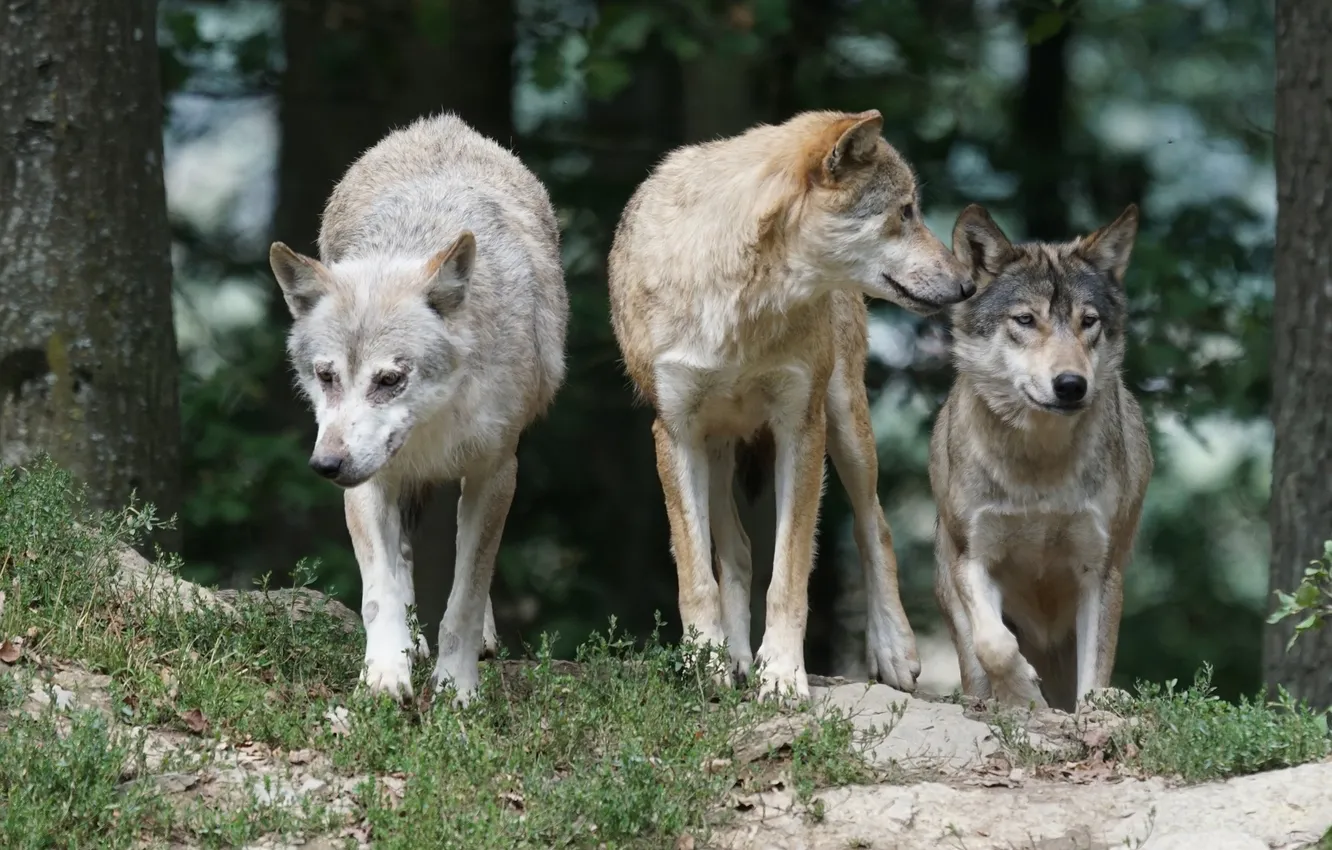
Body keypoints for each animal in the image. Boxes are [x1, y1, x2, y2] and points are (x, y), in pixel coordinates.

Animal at [268, 113, 569, 704]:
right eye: (326, 376)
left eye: (390, 380)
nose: (326, 465)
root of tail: (438, 123)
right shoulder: (368, 482)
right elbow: (380, 591)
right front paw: (385, 674)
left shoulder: (496, 472)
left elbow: (466, 596)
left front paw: (457, 688)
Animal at [607, 109, 975, 701]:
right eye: (905, 211)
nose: (967, 285)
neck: (742, 303)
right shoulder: (674, 433)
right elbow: (696, 575)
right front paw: (706, 664)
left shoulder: (801, 428)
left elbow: (789, 574)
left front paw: (780, 674)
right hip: (715, 450)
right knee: (735, 551)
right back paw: (733, 659)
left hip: (846, 426)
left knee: (875, 526)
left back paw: (893, 651)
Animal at [929, 203, 1153, 712]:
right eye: (1026, 320)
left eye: (1088, 321)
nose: (1071, 385)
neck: (1039, 467)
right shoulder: (973, 556)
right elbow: (994, 644)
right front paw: (1022, 694)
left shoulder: (1100, 570)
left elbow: (1094, 676)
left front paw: (1090, 709)